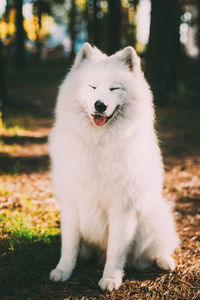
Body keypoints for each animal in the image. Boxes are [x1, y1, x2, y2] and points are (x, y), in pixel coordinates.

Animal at [48, 43, 178, 292]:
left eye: (114, 88)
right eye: (93, 86)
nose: (100, 104)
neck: (98, 143)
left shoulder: (122, 209)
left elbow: (116, 251)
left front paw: (110, 278)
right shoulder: (70, 204)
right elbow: (68, 246)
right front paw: (63, 271)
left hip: (153, 221)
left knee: (158, 248)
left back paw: (166, 261)